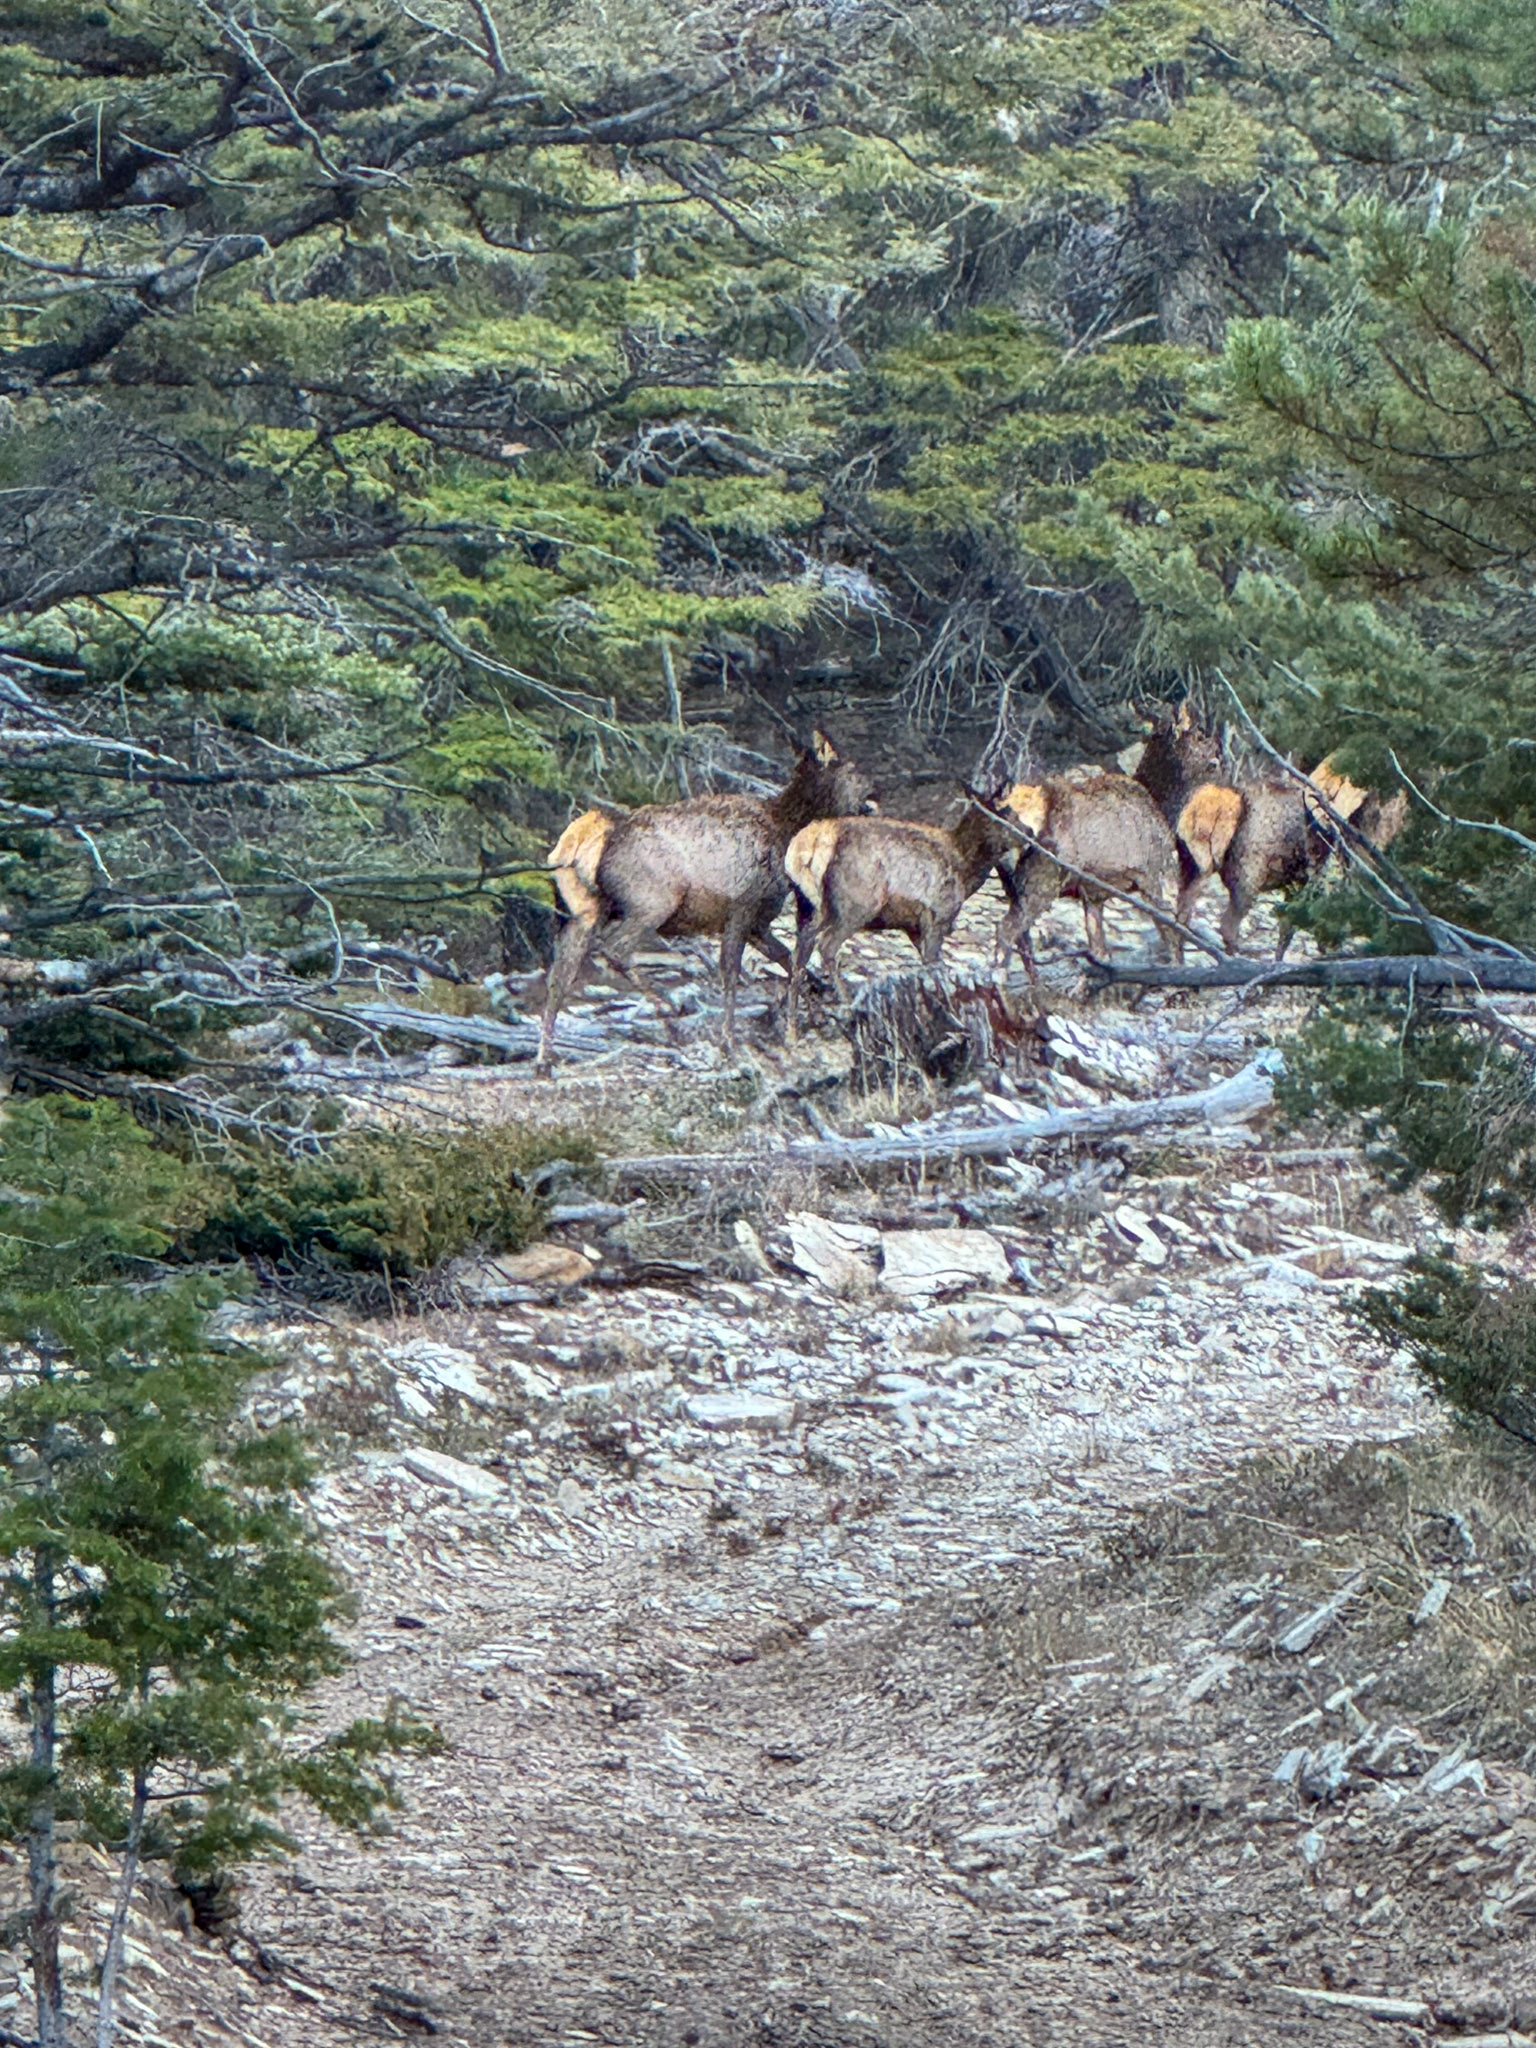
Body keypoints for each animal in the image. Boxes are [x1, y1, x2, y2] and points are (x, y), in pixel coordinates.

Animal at [537, 731, 874, 1071]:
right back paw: (668, 1008)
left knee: (559, 976)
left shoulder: (759, 923)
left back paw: (544, 1057)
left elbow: (789, 962)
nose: (873, 799)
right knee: (612, 949)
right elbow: (731, 973)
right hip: (652, 901)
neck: (785, 832)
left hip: (580, 912)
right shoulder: (742, 906)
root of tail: (578, 844)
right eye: (851, 770)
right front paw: (729, 1043)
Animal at [782, 800, 1023, 1038]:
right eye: (1006, 816)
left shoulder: (914, 928)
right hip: (857, 904)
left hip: (808, 907)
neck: (965, 868)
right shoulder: (938, 916)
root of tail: (811, 840)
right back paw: (848, 1007)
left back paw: (792, 1030)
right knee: (826, 946)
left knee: (800, 953)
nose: (1025, 837)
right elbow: (936, 969)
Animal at [997, 768, 1182, 971]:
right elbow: (1168, 929)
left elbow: (1097, 943)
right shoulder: (1150, 879)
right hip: (1045, 880)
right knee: (1008, 928)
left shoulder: (1094, 893)